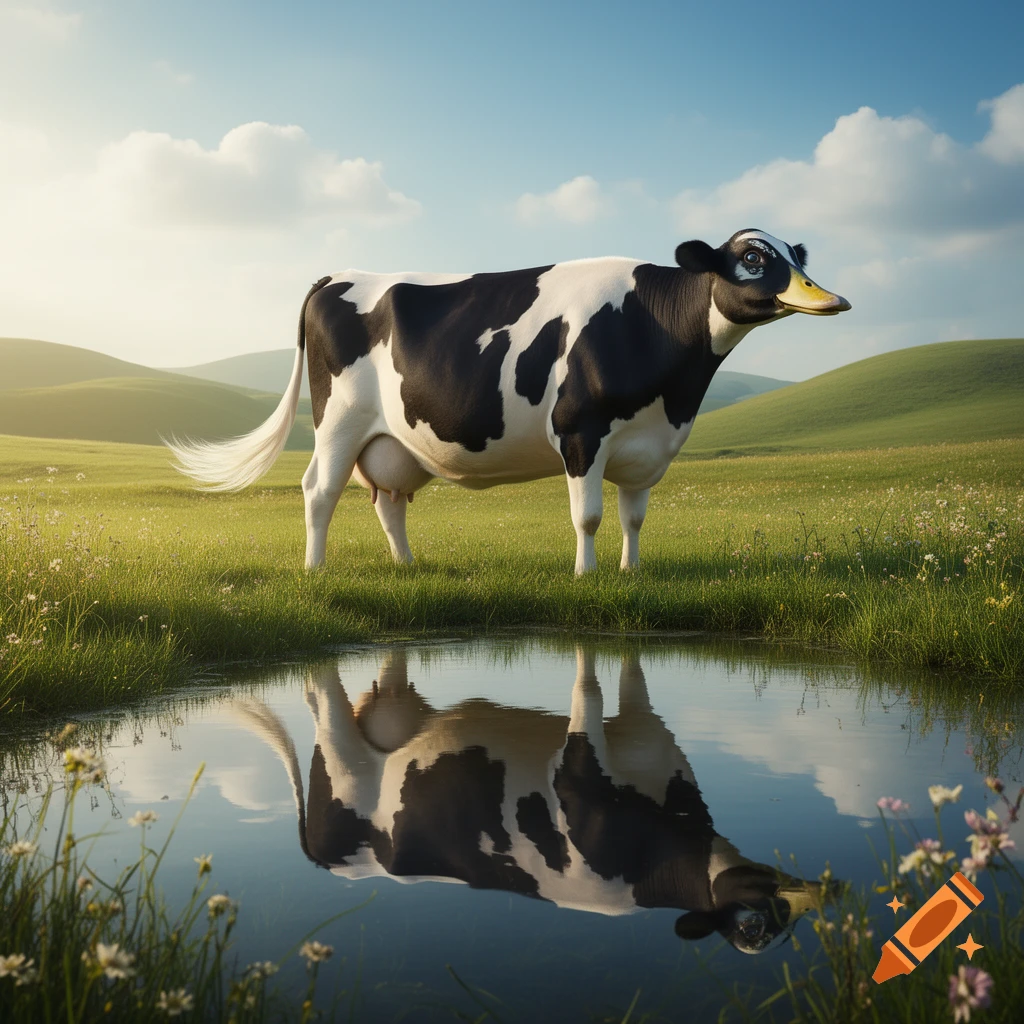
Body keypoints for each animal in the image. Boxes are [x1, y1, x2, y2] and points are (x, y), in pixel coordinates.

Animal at [169, 230, 850, 573]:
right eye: (753, 258)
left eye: (796, 256)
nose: (832, 298)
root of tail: (335, 276)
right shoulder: (581, 431)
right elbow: (588, 516)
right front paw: (586, 577)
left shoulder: (647, 445)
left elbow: (632, 519)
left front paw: (630, 575)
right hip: (338, 420)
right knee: (319, 490)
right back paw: (316, 571)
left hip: (391, 439)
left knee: (388, 500)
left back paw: (407, 566)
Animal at [235, 648, 835, 953]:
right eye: (752, 931)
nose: (821, 892)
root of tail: (325, 859)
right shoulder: (582, 761)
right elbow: (588, 689)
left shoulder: (652, 736)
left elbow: (631, 680)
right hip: (340, 755)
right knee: (321, 700)